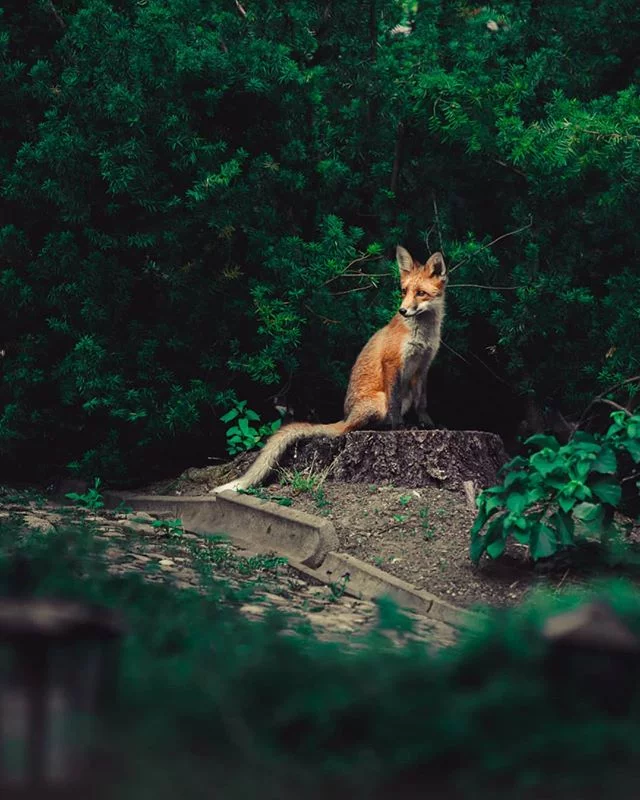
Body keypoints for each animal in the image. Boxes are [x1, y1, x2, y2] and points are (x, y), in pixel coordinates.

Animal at [212, 245, 447, 494]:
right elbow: (394, 404)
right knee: (353, 428)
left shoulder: (423, 367)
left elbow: (423, 403)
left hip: (406, 393)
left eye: (420, 293)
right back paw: (382, 427)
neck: (422, 335)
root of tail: (344, 416)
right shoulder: (392, 363)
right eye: (404, 291)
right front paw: (398, 427)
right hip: (377, 401)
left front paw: (428, 424)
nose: (402, 310)